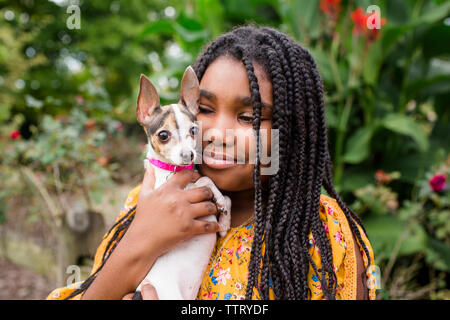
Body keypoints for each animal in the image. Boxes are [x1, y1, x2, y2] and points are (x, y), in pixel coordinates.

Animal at [133, 65, 232, 300]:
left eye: (194, 130)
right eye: (163, 135)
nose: (189, 155)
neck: (174, 172)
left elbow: (227, 197)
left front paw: (224, 221)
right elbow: (206, 179)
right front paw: (218, 201)